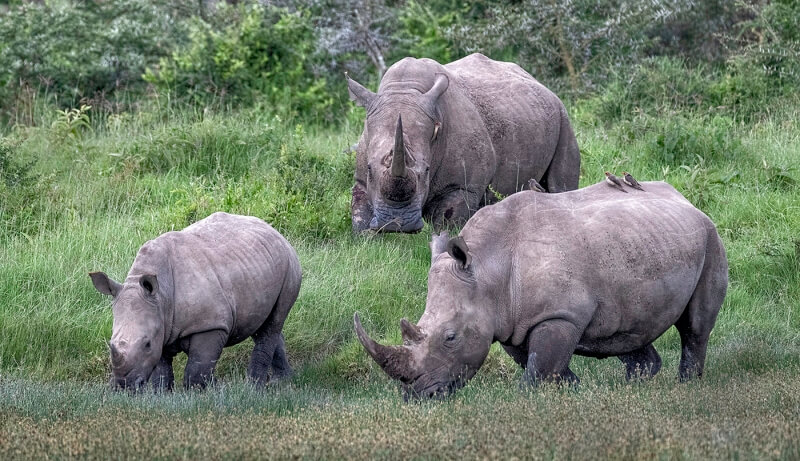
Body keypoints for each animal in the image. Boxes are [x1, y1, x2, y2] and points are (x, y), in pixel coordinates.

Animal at [90, 211, 302, 388]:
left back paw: (255, 387)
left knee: (273, 323)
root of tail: (275, 231)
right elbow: (161, 371)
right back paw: (283, 380)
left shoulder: (210, 324)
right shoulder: (161, 322)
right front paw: (161, 395)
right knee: (263, 323)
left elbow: (197, 370)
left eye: (147, 344)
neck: (162, 296)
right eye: (111, 341)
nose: (123, 385)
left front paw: (197, 394)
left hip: (290, 263)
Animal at [346, 53, 580, 234]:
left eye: (427, 171)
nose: (396, 225)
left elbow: (446, 222)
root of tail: (539, 82)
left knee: (561, 186)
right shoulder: (362, 175)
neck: (404, 89)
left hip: (562, 115)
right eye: (369, 169)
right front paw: (368, 236)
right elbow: (359, 215)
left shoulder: (464, 185)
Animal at [354, 181, 728, 398]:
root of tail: (686, 200)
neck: (487, 268)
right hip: (643, 242)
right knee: (626, 329)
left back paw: (686, 387)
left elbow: (538, 369)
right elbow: (540, 363)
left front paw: (530, 402)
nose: (418, 397)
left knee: (695, 328)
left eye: (451, 337)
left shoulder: (558, 315)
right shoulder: (512, 321)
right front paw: (573, 392)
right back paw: (635, 386)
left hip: (711, 237)